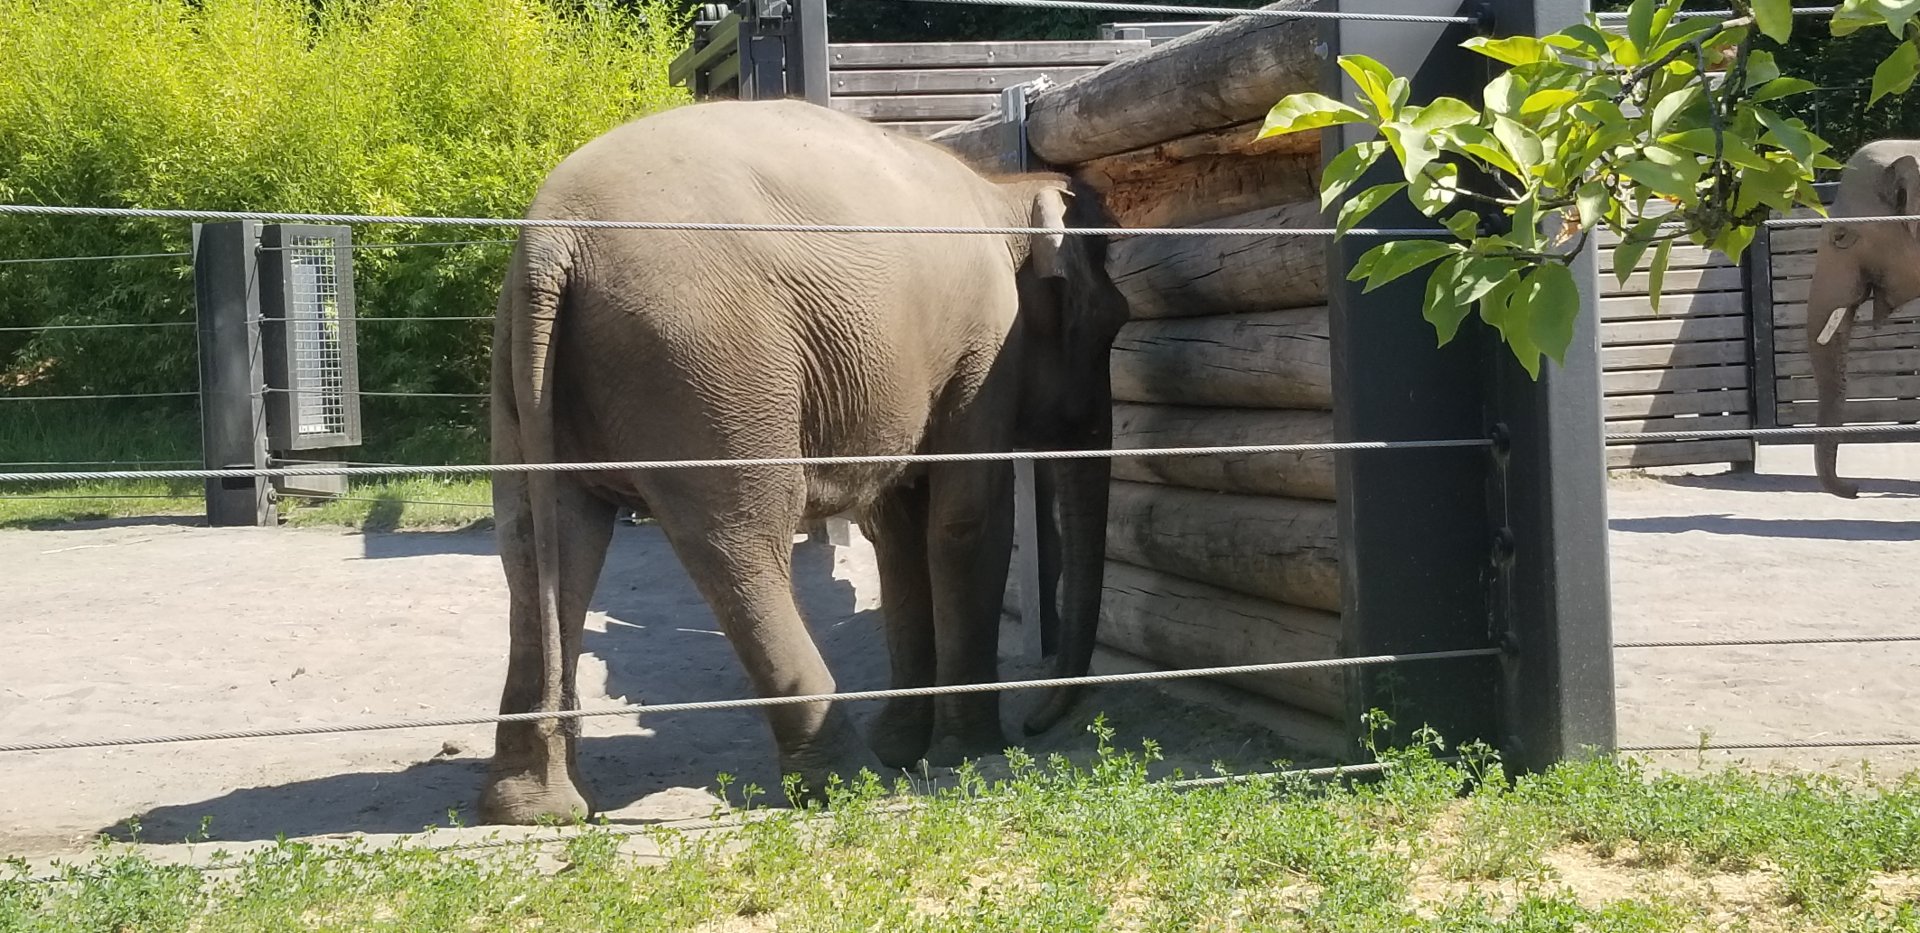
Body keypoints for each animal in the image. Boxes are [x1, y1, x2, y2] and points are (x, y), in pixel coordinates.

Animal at [478, 99, 1131, 825]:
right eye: (1110, 325)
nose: (1036, 724)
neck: (1005, 193)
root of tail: (554, 238)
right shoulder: (984, 349)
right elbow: (968, 520)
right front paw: (967, 753)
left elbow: (896, 530)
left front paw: (905, 746)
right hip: (706, 363)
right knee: (739, 539)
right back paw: (848, 778)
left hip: (526, 364)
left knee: (542, 542)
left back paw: (536, 808)